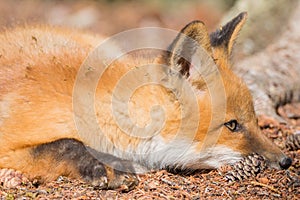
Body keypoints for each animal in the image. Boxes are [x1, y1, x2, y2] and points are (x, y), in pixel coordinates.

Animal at [0, 11, 292, 190]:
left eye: (255, 121)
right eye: (232, 125)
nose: (286, 161)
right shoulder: (8, 145)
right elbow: (66, 144)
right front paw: (110, 168)